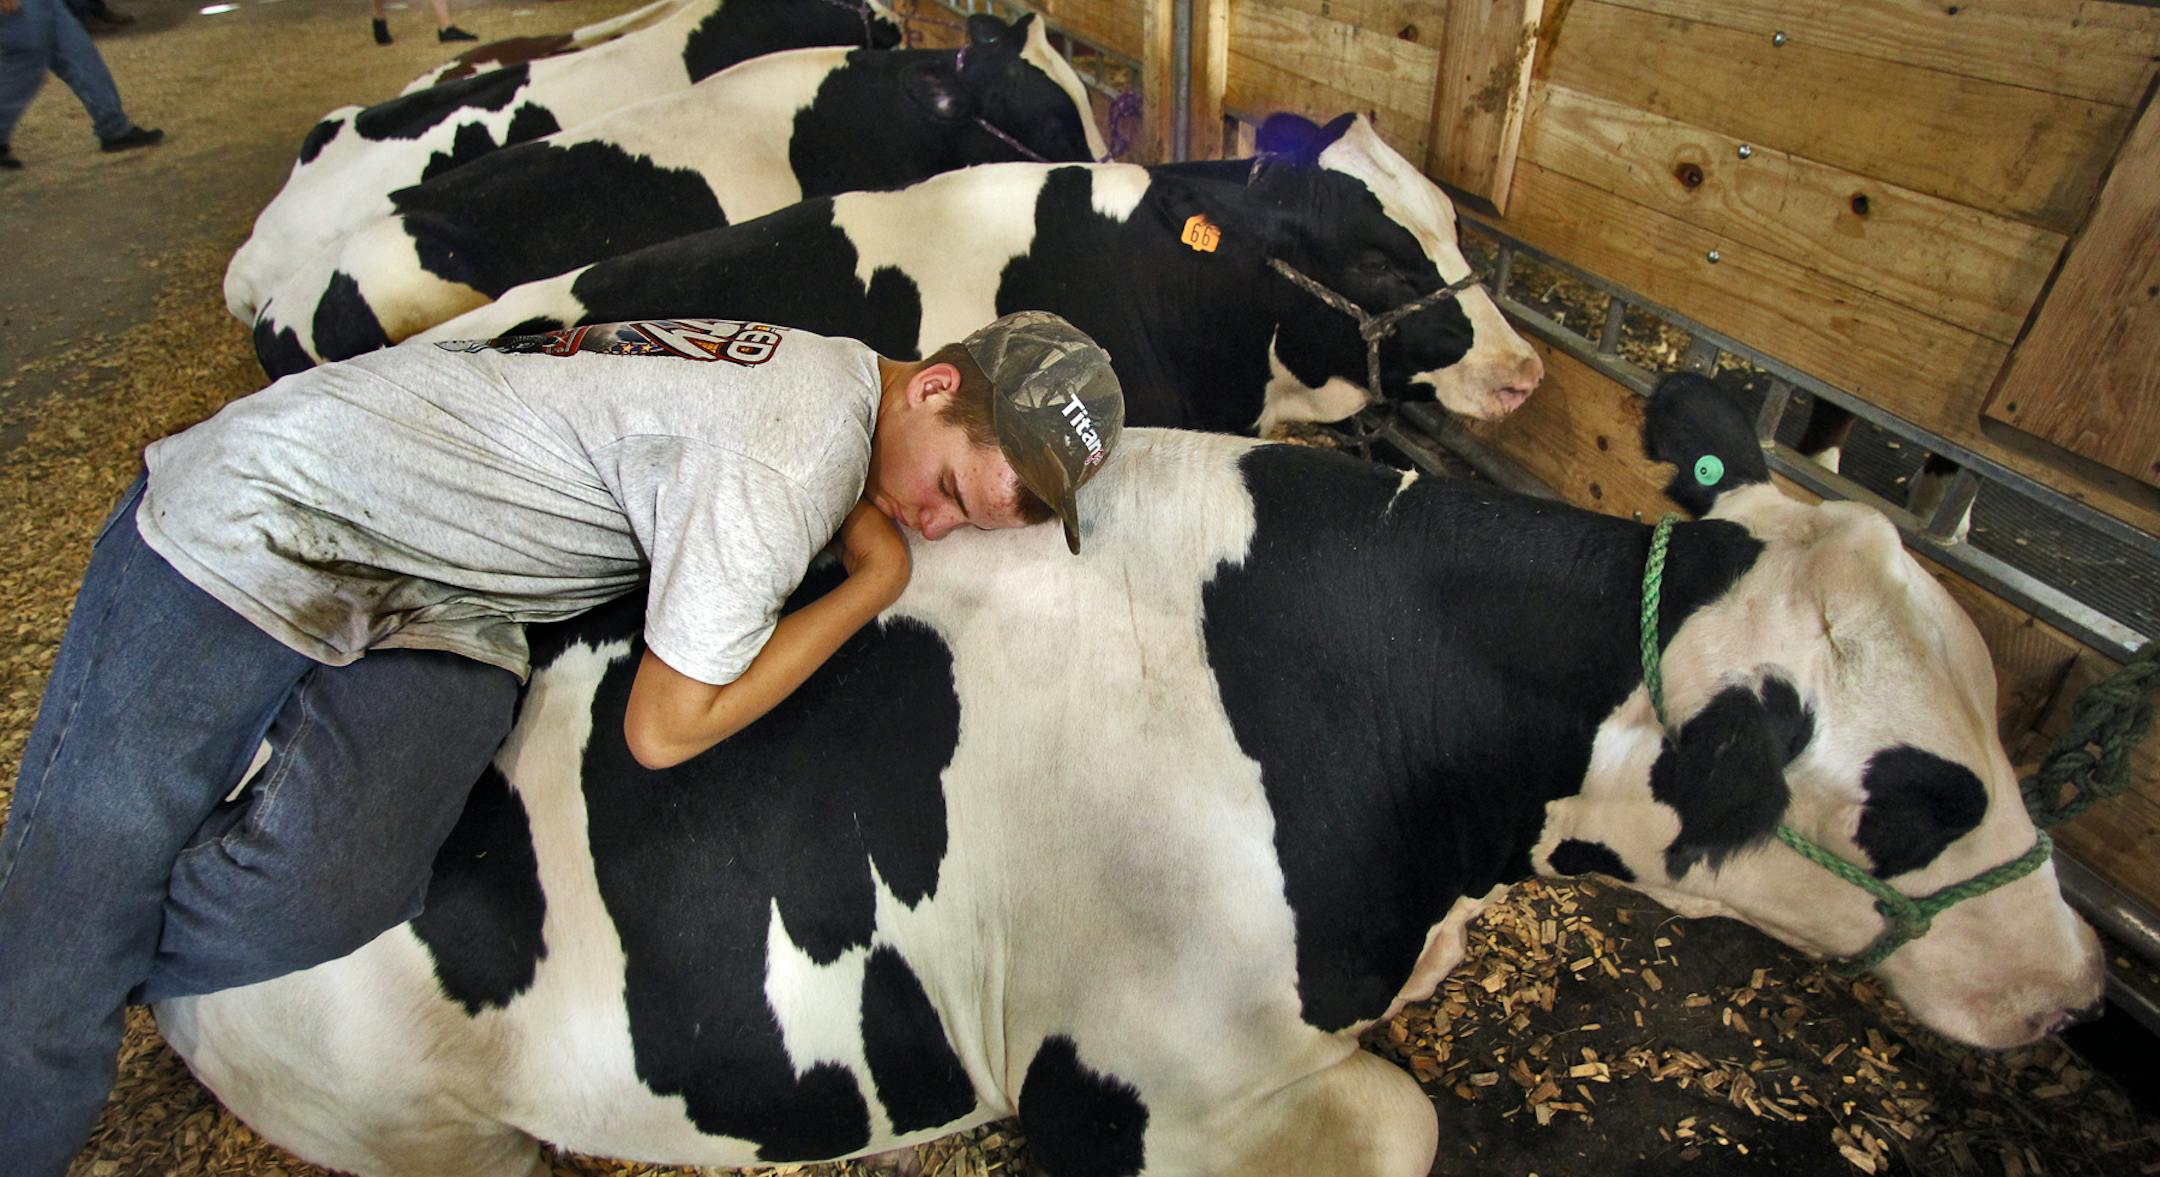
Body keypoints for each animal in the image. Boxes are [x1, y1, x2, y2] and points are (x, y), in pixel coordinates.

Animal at [155, 373, 2101, 1177]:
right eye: (1915, 797)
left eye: (2004, 734)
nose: (2081, 982)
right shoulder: (1130, 1077)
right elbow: (1405, 1124)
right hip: (422, 1138)